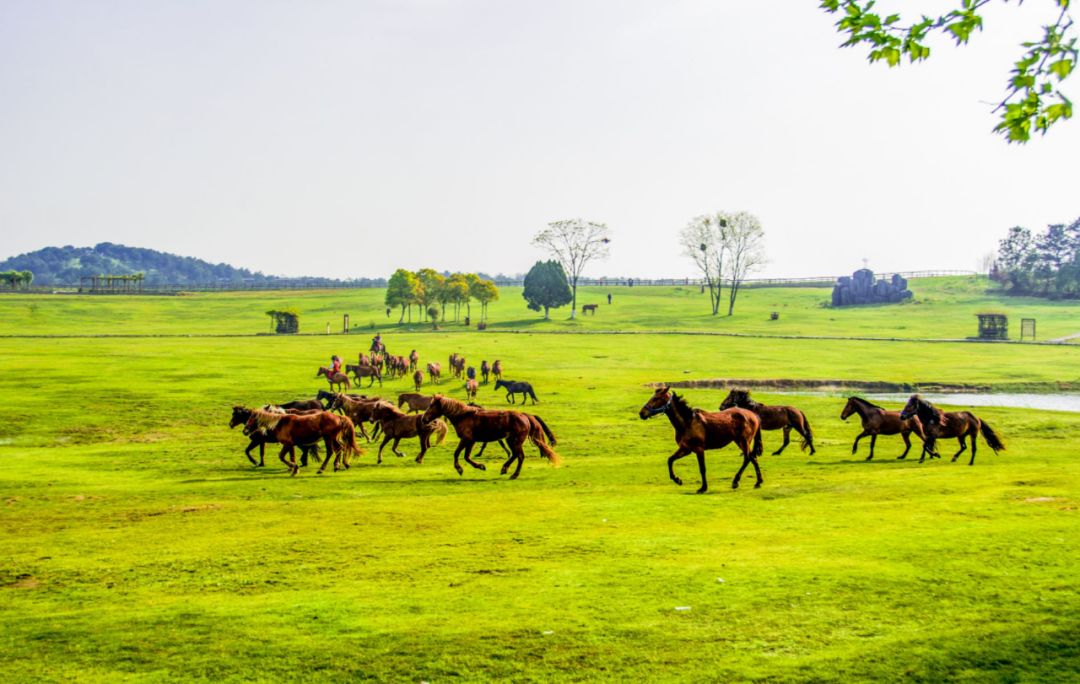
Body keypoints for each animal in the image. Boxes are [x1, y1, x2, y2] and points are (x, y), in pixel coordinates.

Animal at [421, 395, 561, 479]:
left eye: (432, 406)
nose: (423, 419)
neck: (464, 416)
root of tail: (525, 416)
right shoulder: (471, 441)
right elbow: (467, 456)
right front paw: (481, 466)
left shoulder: (466, 439)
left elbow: (457, 453)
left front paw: (459, 469)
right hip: (510, 440)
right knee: (515, 455)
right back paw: (504, 469)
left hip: (515, 441)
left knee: (520, 456)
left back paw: (513, 474)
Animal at [635, 384, 764, 490]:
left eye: (656, 399)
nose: (642, 413)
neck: (687, 422)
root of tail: (754, 415)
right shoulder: (685, 449)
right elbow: (670, 460)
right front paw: (677, 480)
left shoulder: (699, 449)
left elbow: (702, 468)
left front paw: (703, 488)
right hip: (739, 441)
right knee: (752, 458)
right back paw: (758, 482)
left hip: (743, 441)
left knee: (747, 458)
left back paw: (735, 482)